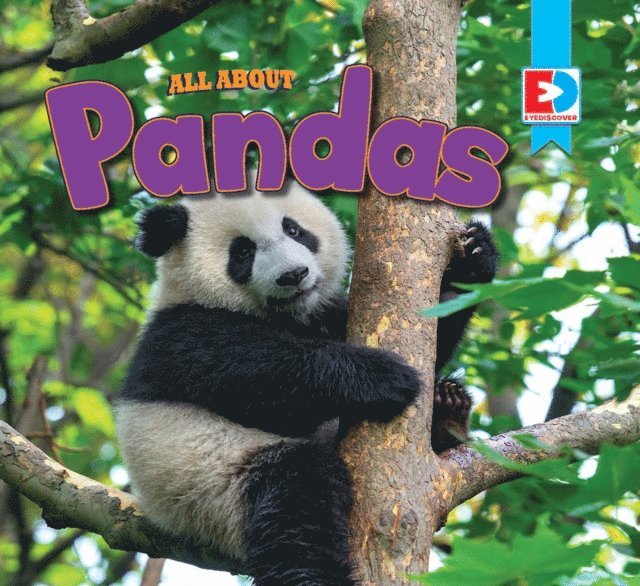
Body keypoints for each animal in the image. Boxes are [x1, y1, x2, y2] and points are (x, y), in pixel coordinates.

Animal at [115, 179, 497, 586]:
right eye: (243, 252)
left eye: (294, 230)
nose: (294, 275)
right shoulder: (183, 335)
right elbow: (263, 380)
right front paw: (383, 377)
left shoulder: (327, 312)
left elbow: (436, 327)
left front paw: (474, 259)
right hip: (211, 485)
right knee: (295, 505)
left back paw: (448, 409)